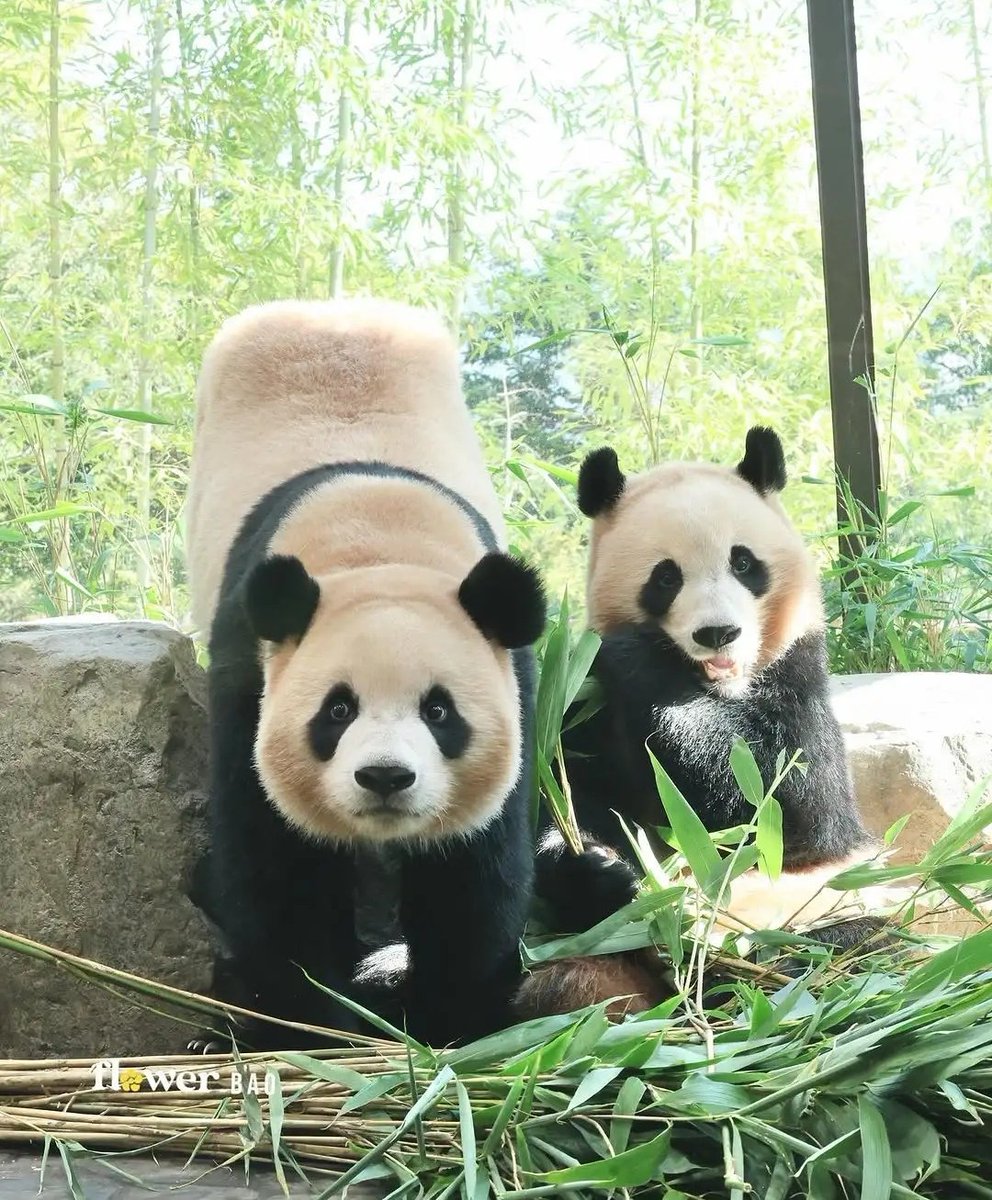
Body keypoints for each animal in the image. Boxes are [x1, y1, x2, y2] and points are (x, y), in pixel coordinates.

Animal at [185, 299, 545, 1049]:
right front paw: (307, 1023)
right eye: (337, 710)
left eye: (439, 712)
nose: (384, 777)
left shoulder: (513, 675)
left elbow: (474, 867)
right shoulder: (247, 667)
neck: (379, 540)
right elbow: (277, 865)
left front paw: (446, 1022)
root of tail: (324, 308)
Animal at [517, 427, 883, 1017]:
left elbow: (793, 806)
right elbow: (567, 801)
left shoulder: (799, 681)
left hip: (831, 903)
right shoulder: (583, 710)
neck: (717, 690)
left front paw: (639, 661)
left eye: (743, 562)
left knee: (846, 947)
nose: (718, 634)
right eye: (666, 577)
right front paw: (598, 866)